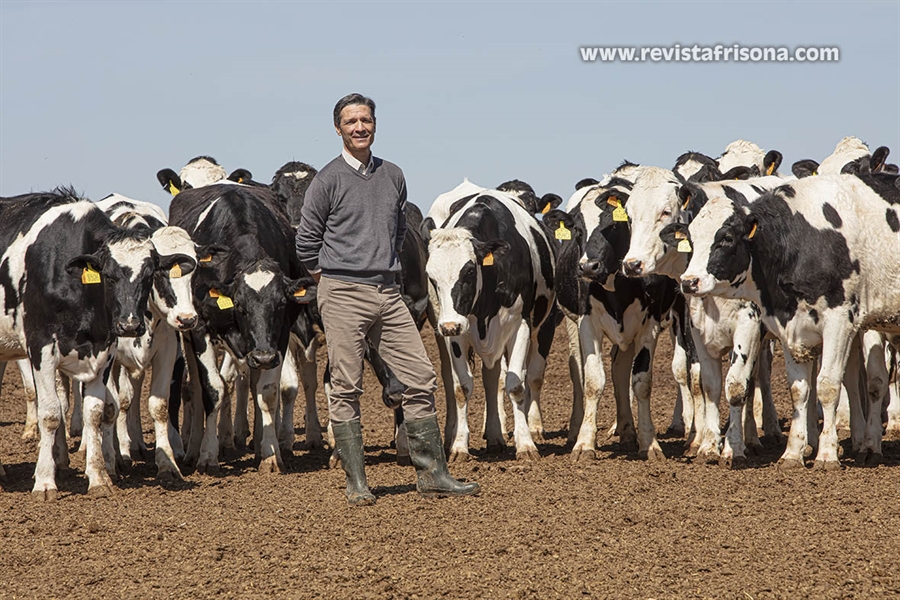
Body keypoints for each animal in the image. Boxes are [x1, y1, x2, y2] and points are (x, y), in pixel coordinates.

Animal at [0, 190, 166, 500]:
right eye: (109, 276)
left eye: (149, 276)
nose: (130, 325)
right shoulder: (40, 347)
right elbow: (50, 413)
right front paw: (44, 482)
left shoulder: (105, 350)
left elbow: (95, 412)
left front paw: (99, 477)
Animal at [168, 183, 316, 474]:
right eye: (239, 304)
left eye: (281, 303)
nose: (263, 356)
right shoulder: (200, 329)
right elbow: (213, 390)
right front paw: (208, 455)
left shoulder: (279, 336)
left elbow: (267, 392)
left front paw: (270, 453)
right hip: (188, 336)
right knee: (194, 389)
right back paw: (193, 448)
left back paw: (258, 442)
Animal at [424, 190, 556, 462]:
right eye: (431, 277)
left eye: (469, 272)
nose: (448, 326)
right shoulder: (456, 334)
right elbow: (462, 387)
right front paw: (459, 447)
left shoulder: (520, 326)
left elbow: (516, 385)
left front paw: (526, 445)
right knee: (489, 377)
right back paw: (491, 436)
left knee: (519, 376)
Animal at [680, 171, 900, 466]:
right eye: (691, 239)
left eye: (726, 238)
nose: (689, 282)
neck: (802, 240)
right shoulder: (790, 327)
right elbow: (799, 390)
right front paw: (793, 453)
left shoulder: (840, 321)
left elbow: (828, 386)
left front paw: (827, 455)